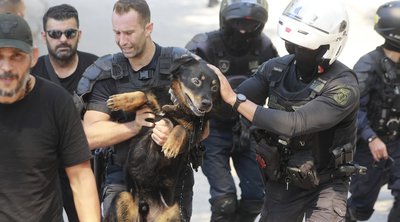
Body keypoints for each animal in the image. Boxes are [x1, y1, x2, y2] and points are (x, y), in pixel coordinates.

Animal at [103, 53, 220, 222]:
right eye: (196, 81)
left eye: (214, 88)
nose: (207, 104)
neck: (176, 108)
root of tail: (145, 206)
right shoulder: (152, 106)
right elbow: (142, 94)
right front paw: (119, 100)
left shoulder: (193, 134)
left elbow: (180, 128)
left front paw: (171, 145)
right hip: (122, 197)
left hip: (174, 211)